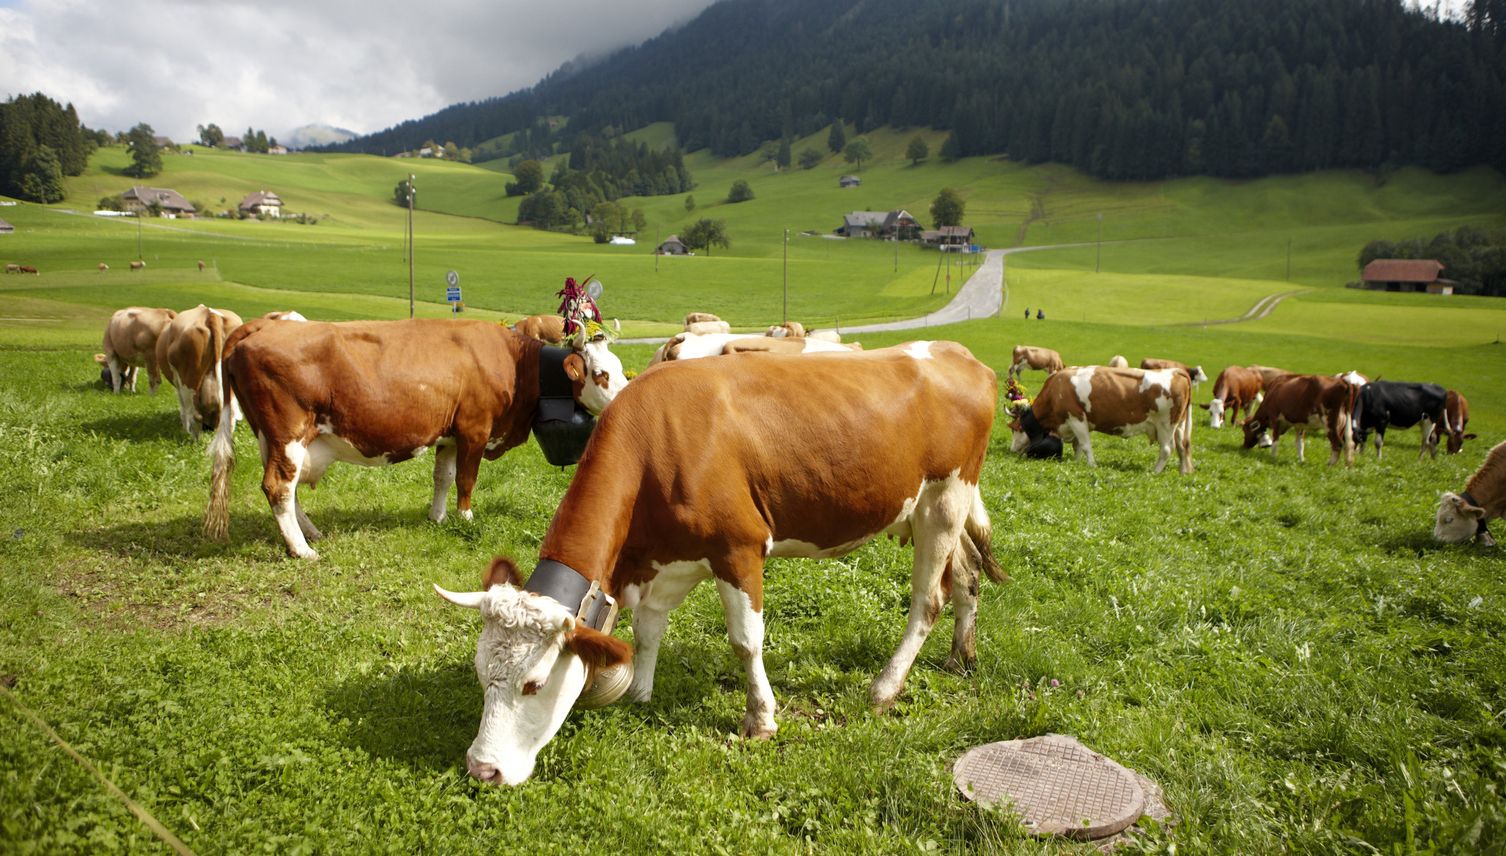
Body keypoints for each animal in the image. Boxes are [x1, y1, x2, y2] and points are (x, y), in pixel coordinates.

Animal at [155, 304, 243, 437]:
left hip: (188, 383)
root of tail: (210, 313)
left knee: (194, 414)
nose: (209, 428)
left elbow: (183, 408)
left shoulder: (178, 383)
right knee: (230, 412)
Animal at [203, 317, 626, 557]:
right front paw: (465, 519)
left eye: (621, 368)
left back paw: (310, 533)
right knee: (278, 486)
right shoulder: (475, 430)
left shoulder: (449, 436)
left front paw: (437, 517)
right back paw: (302, 550)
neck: (515, 364)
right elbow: (467, 480)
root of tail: (262, 326)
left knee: (284, 490)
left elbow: (444, 477)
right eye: (600, 372)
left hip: (270, 438)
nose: (626, 398)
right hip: (287, 433)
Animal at [1006, 366, 1192, 476]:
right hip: (1179, 425)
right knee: (1182, 447)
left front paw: (1092, 465)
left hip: (1166, 425)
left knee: (1167, 449)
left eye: (1015, 428)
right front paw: (1076, 462)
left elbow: (1085, 445)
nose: (1012, 449)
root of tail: (1176, 371)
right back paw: (1183, 472)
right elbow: (1077, 446)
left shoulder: (1077, 418)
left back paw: (1155, 472)